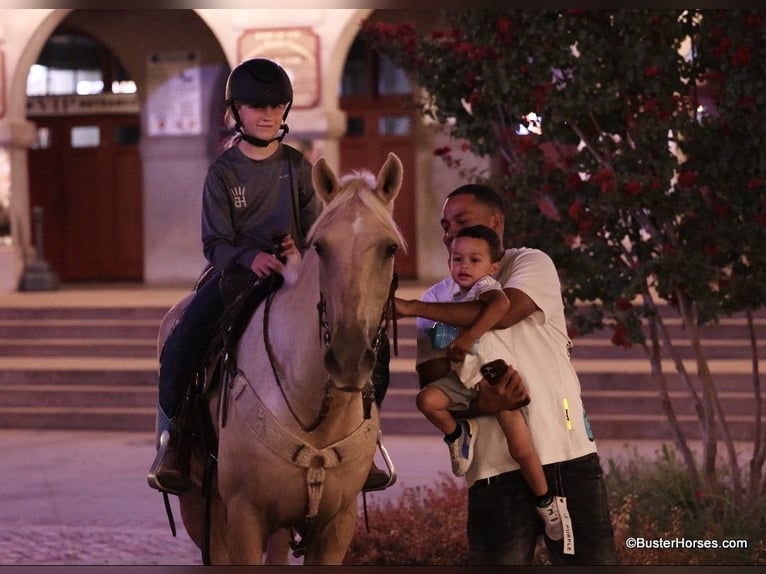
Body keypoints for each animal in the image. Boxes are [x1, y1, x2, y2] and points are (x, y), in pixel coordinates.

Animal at [164, 153, 408, 568]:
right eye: (321, 247)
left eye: (389, 248)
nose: (348, 358)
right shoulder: (245, 516)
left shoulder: (337, 524)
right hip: (198, 504)